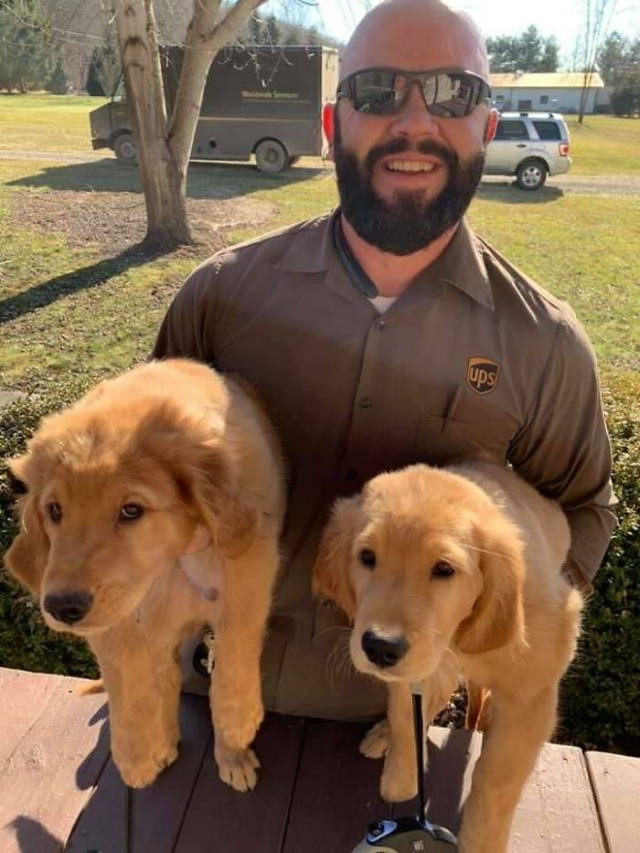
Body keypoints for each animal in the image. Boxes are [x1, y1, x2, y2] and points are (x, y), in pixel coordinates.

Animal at [4, 358, 284, 792]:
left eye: (131, 510)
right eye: (54, 510)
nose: (62, 608)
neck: (169, 565)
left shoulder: (249, 558)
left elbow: (235, 648)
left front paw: (237, 729)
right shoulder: (115, 618)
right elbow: (128, 680)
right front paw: (137, 754)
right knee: (164, 677)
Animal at [312, 462, 584, 848]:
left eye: (444, 569)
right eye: (366, 557)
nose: (380, 647)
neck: (457, 637)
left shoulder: (530, 697)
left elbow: (497, 780)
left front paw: (482, 842)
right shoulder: (418, 666)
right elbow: (404, 716)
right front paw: (401, 778)